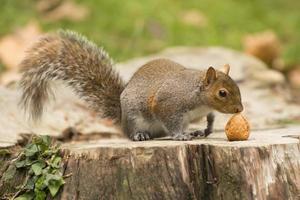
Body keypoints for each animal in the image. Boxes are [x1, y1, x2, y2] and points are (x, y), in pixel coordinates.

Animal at [18, 30, 244, 141]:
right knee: (134, 132)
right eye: (222, 93)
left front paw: (205, 130)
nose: (240, 109)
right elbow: (170, 121)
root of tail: (121, 118)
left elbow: (211, 119)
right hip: (134, 117)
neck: (199, 99)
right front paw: (180, 136)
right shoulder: (168, 104)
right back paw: (140, 135)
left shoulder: (205, 111)